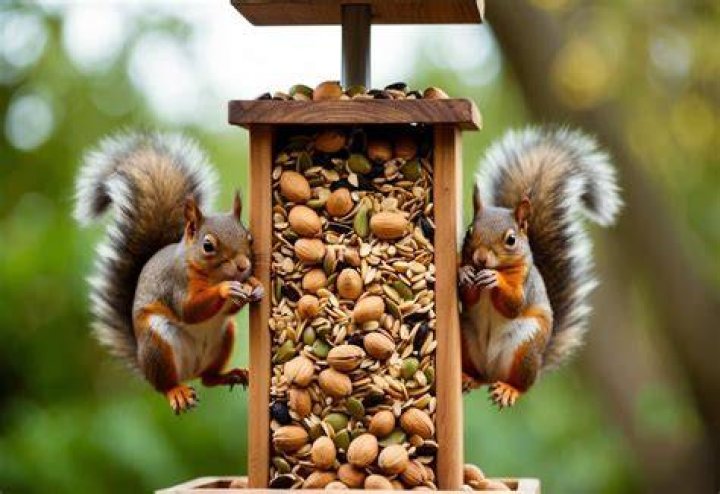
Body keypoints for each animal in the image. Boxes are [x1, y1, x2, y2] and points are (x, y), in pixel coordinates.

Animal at [74, 131, 264, 414]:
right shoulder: (175, 285)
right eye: (208, 246)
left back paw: (231, 374)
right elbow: (189, 310)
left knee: (208, 379)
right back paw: (177, 392)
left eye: (249, 237)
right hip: (158, 344)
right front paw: (227, 289)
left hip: (225, 336)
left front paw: (254, 284)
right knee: (164, 384)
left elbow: (229, 310)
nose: (243, 266)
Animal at [458, 126, 622, 408]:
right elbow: (468, 297)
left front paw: (495, 280)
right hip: (467, 340)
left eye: (511, 239)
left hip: (525, 346)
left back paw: (510, 390)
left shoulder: (526, 284)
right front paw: (466, 273)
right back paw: (468, 377)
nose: (479, 259)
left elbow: (514, 305)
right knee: (480, 376)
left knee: (523, 384)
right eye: (469, 231)